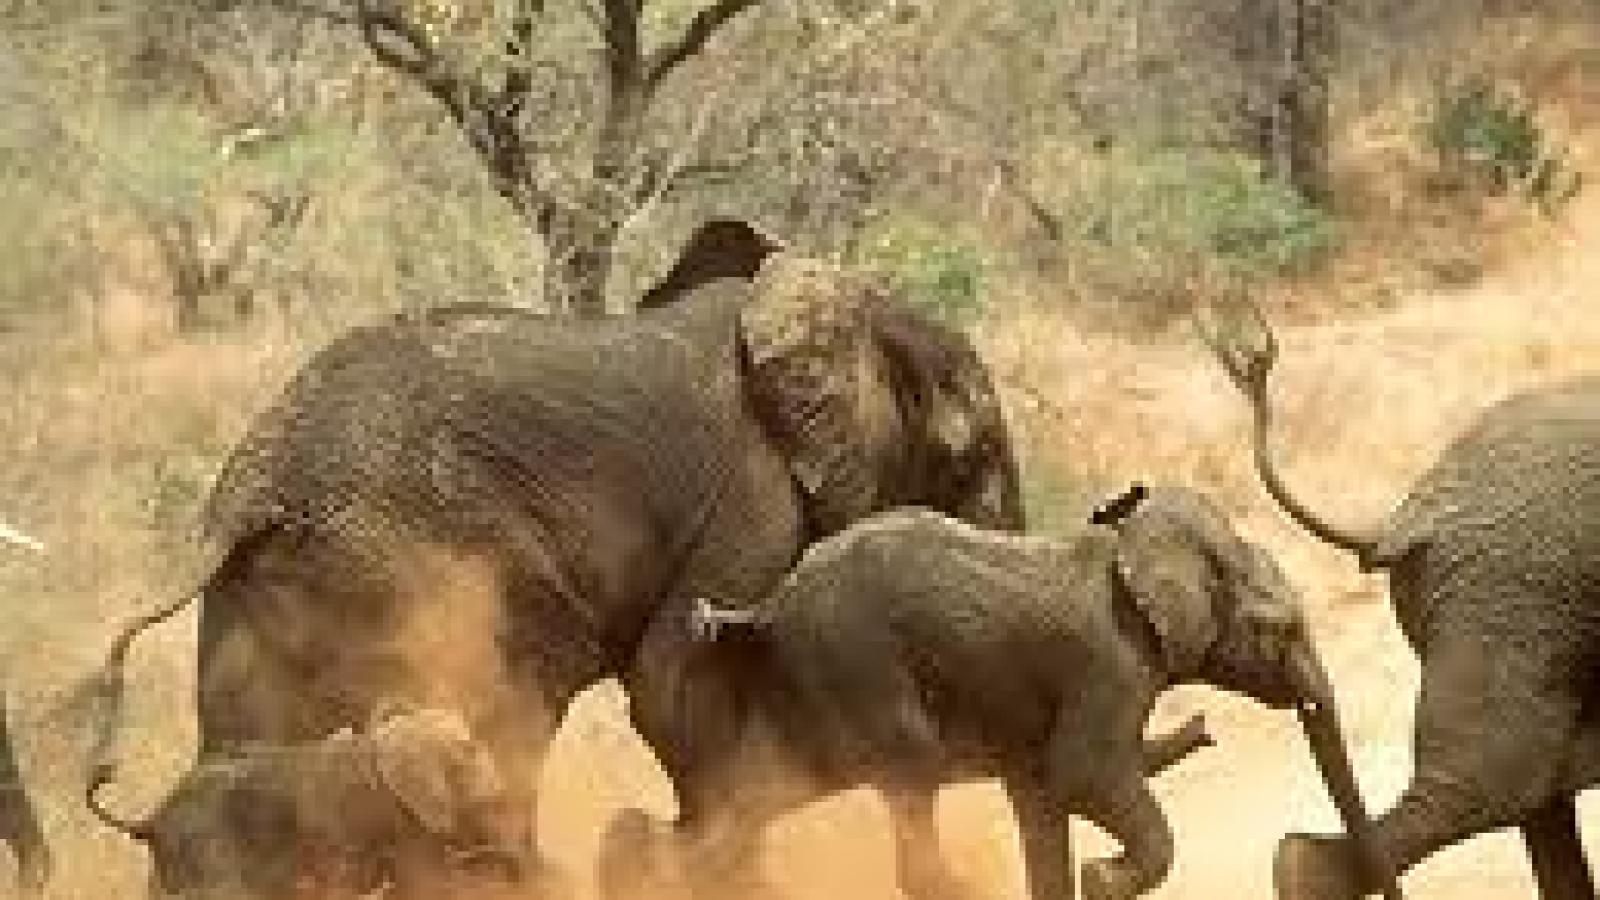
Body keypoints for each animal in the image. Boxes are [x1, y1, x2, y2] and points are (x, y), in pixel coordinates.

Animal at [599, 485, 1394, 900]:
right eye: (1279, 629)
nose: (1203, 728)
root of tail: (769, 604)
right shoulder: (1109, 665)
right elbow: (1084, 774)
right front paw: (1104, 877)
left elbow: (1042, 797)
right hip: (858, 667)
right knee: (906, 775)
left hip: (811, 687)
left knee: (755, 795)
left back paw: (633, 862)